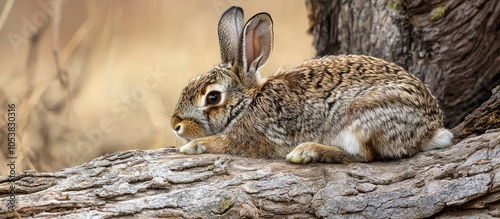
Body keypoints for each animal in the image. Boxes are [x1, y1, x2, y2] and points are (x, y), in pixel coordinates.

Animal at [169, 6, 454, 163]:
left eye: (213, 98)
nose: (175, 125)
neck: (248, 104)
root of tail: (430, 129)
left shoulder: (257, 138)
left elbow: (227, 143)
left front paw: (194, 146)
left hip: (363, 119)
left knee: (364, 156)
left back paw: (307, 152)